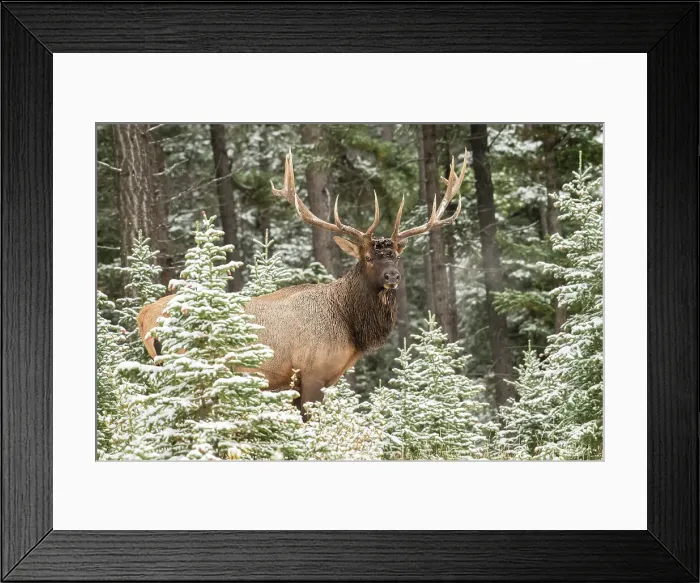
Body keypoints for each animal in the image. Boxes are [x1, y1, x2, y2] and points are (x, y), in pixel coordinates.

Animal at [137, 150, 467, 414]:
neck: (350, 327)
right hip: (183, 362)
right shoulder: (312, 373)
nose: (392, 277)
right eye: (368, 258)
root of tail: (144, 315)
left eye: (396, 256)